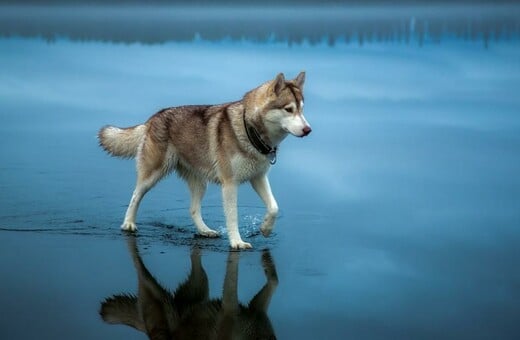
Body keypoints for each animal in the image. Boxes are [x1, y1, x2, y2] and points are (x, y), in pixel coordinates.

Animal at [98, 71, 310, 248]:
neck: (249, 129)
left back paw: (204, 231)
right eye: (288, 109)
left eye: (302, 109)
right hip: (153, 174)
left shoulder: (258, 177)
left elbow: (274, 207)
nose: (308, 129)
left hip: (200, 183)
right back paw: (128, 224)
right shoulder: (229, 184)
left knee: (192, 209)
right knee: (135, 195)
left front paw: (265, 229)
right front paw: (237, 242)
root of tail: (153, 118)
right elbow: (233, 216)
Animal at [99, 236, 278, 340]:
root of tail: (146, 331)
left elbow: (275, 281)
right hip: (162, 299)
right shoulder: (230, 308)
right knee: (138, 267)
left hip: (200, 285)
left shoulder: (257, 312)